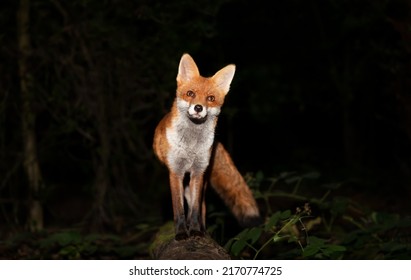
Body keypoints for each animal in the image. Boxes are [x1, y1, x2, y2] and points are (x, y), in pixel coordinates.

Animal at [153, 53, 262, 240]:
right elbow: (179, 210)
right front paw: (181, 233)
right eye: (190, 94)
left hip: (201, 181)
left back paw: (202, 229)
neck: (191, 147)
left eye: (210, 98)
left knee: (200, 207)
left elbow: (196, 210)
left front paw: (196, 230)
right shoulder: (176, 172)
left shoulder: (198, 172)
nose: (198, 107)